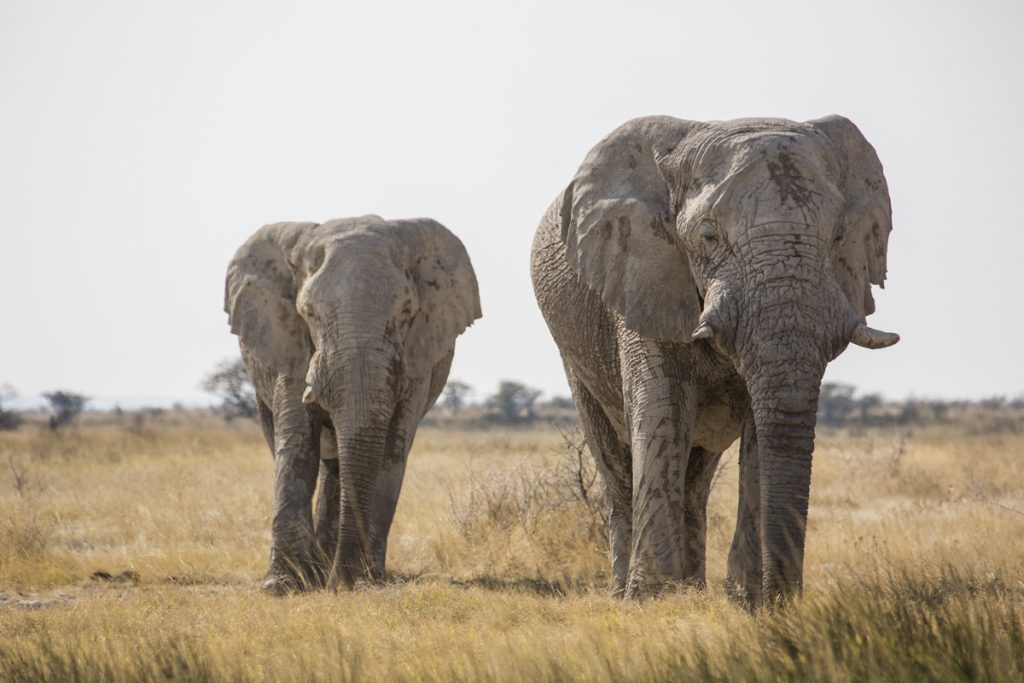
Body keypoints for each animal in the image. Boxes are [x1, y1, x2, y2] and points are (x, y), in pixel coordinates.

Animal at [224, 215, 479, 593]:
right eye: (308, 313)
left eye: (407, 311)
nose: (342, 582)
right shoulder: (291, 344)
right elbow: (298, 446)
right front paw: (282, 586)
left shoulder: (416, 358)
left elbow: (391, 449)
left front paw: (364, 580)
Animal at [532, 117, 901, 610]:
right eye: (709, 237)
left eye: (839, 236)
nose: (785, 599)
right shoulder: (640, 274)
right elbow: (662, 411)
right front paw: (655, 601)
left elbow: (761, 430)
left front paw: (748, 602)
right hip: (576, 352)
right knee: (616, 463)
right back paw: (625, 593)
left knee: (696, 478)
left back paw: (692, 587)